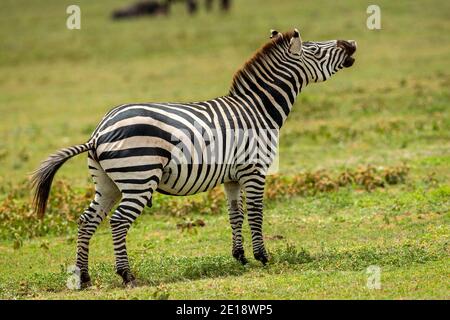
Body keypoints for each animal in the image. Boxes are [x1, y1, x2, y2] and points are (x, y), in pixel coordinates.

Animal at [31, 28, 356, 288]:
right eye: (315, 50)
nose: (351, 43)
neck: (257, 110)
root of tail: (98, 133)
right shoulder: (254, 170)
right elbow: (255, 212)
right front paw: (263, 256)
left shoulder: (232, 176)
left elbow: (235, 215)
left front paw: (240, 257)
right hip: (139, 178)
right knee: (119, 221)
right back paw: (126, 275)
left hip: (107, 183)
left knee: (88, 220)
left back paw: (83, 277)